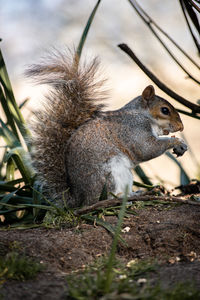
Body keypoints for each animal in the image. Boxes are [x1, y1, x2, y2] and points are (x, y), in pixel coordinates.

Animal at [27, 50, 188, 207]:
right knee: (105, 199)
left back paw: (136, 193)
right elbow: (147, 149)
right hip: (110, 175)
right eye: (165, 110)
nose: (181, 127)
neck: (141, 114)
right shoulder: (133, 129)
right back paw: (124, 199)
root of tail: (79, 200)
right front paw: (177, 142)